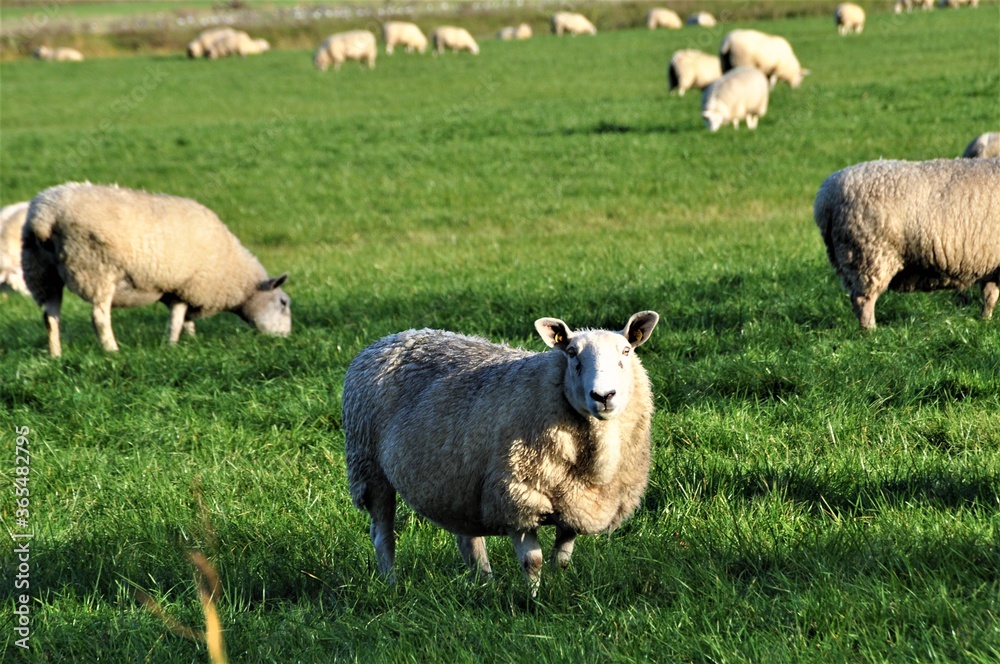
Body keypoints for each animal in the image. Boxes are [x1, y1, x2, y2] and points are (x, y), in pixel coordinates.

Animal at [21, 182, 291, 357]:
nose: (286, 340)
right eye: (283, 303)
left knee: (50, 317)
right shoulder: (186, 286)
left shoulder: (178, 290)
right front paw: (172, 346)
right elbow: (177, 320)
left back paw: (55, 355)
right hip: (96, 267)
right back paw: (112, 351)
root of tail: (45, 216)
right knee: (99, 317)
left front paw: (190, 340)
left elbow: (184, 319)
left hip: (42, 272)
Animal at [343, 311, 659, 593]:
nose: (603, 396)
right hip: (369, 467)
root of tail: (391, 338)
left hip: (456, 481)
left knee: (469, 540)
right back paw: (392, 585)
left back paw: (484, 585)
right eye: (571, 353)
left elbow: (561, 561)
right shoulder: (516, 499)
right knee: (383, 535)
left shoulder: (577, 505)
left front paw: (557, 590)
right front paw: (534, 601)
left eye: (626, 351)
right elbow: (533, 562)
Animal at [813, 158, 1000, 330]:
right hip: (868, 255)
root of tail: (825, 198)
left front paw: (985, 320)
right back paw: (870, 332)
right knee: (862, 300)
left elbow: (989, 295)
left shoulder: (991, 266)